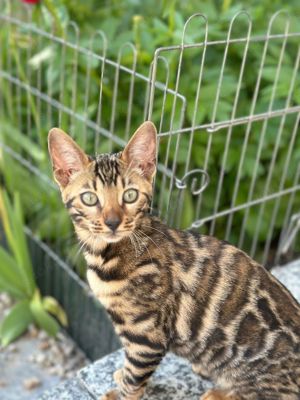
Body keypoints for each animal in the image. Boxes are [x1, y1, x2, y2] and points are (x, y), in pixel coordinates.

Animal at [48, 122, 300, 400]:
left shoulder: (146, 336)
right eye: (90, 198)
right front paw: (121, 375)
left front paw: (120, 391)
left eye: (130, 195)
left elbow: (134, 379)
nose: (112, 222)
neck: (106, 255)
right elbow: (130, 371)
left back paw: (219, 393)